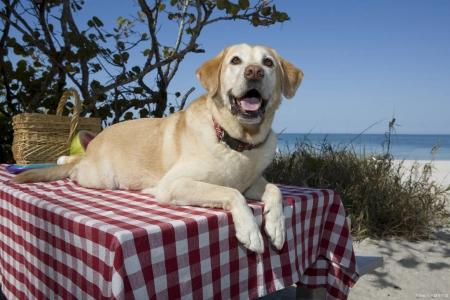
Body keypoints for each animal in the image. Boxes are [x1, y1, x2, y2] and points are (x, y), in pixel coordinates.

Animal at [13, 44, 302, 253]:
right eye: (235, 61)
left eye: (268, 63)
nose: (254, 72)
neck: (236, 142)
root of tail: (96, 141)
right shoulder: (173, 184)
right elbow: (231, 193)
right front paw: (250, 231)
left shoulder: (252, 182)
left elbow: (274, 189)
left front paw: (276, 227)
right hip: (100, 178)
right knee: (75, 169)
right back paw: (65, 162)